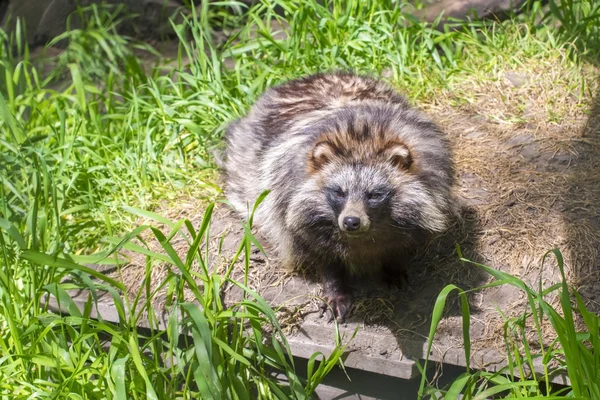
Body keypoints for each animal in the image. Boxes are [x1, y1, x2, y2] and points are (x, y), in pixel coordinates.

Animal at [225, 72, 454, 322]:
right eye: (339, 192)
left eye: (374, 195)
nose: (351, 222)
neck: (361, 139)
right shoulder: (289, 200)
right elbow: (320, 254)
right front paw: (335, 287)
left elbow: (400, 241)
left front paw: (393, 263)